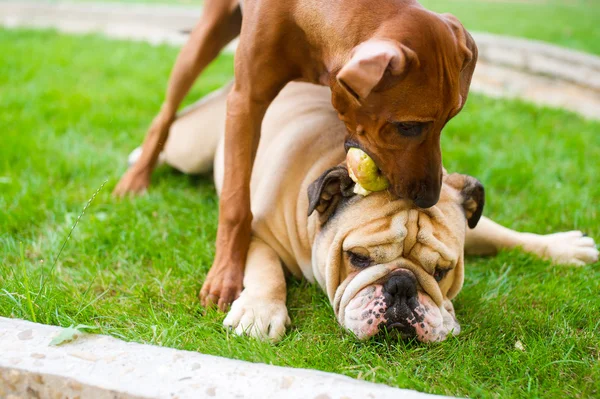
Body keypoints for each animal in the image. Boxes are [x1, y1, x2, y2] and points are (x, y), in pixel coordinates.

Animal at [113, 0, 478, 310]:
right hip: (206, 36)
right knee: (166, 113)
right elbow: (235, 205)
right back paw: (136, 177)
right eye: (408, 126)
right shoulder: (246, 102)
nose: (429, 198)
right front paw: (226, 274)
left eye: (450, 119)